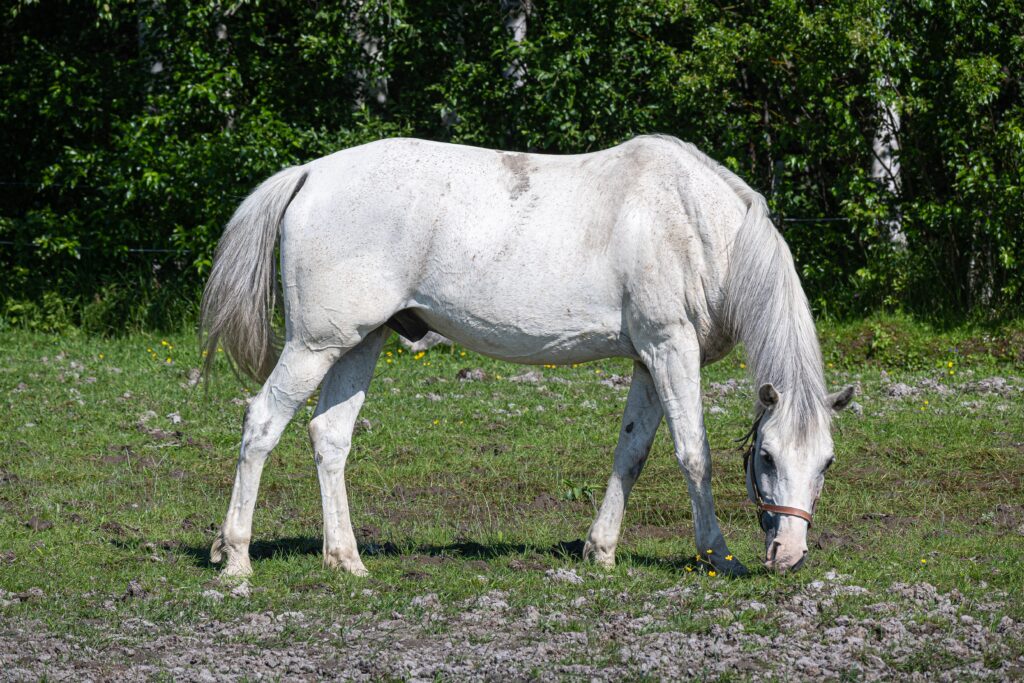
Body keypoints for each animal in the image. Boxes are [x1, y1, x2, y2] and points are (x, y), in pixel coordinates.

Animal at [201, 135, 853, 578]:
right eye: (766, 457)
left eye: (826, 462)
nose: (789, 555)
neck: (693, 223)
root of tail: (310, 172)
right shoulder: (671, 347)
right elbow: (694, 455)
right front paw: (718, 555)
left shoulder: (648, 359)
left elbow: (632, 454)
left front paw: (601, 551)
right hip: (314, 345)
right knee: (261, 424)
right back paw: (236, 558)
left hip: (360, 341)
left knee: (329, 437)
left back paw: (346, 559)